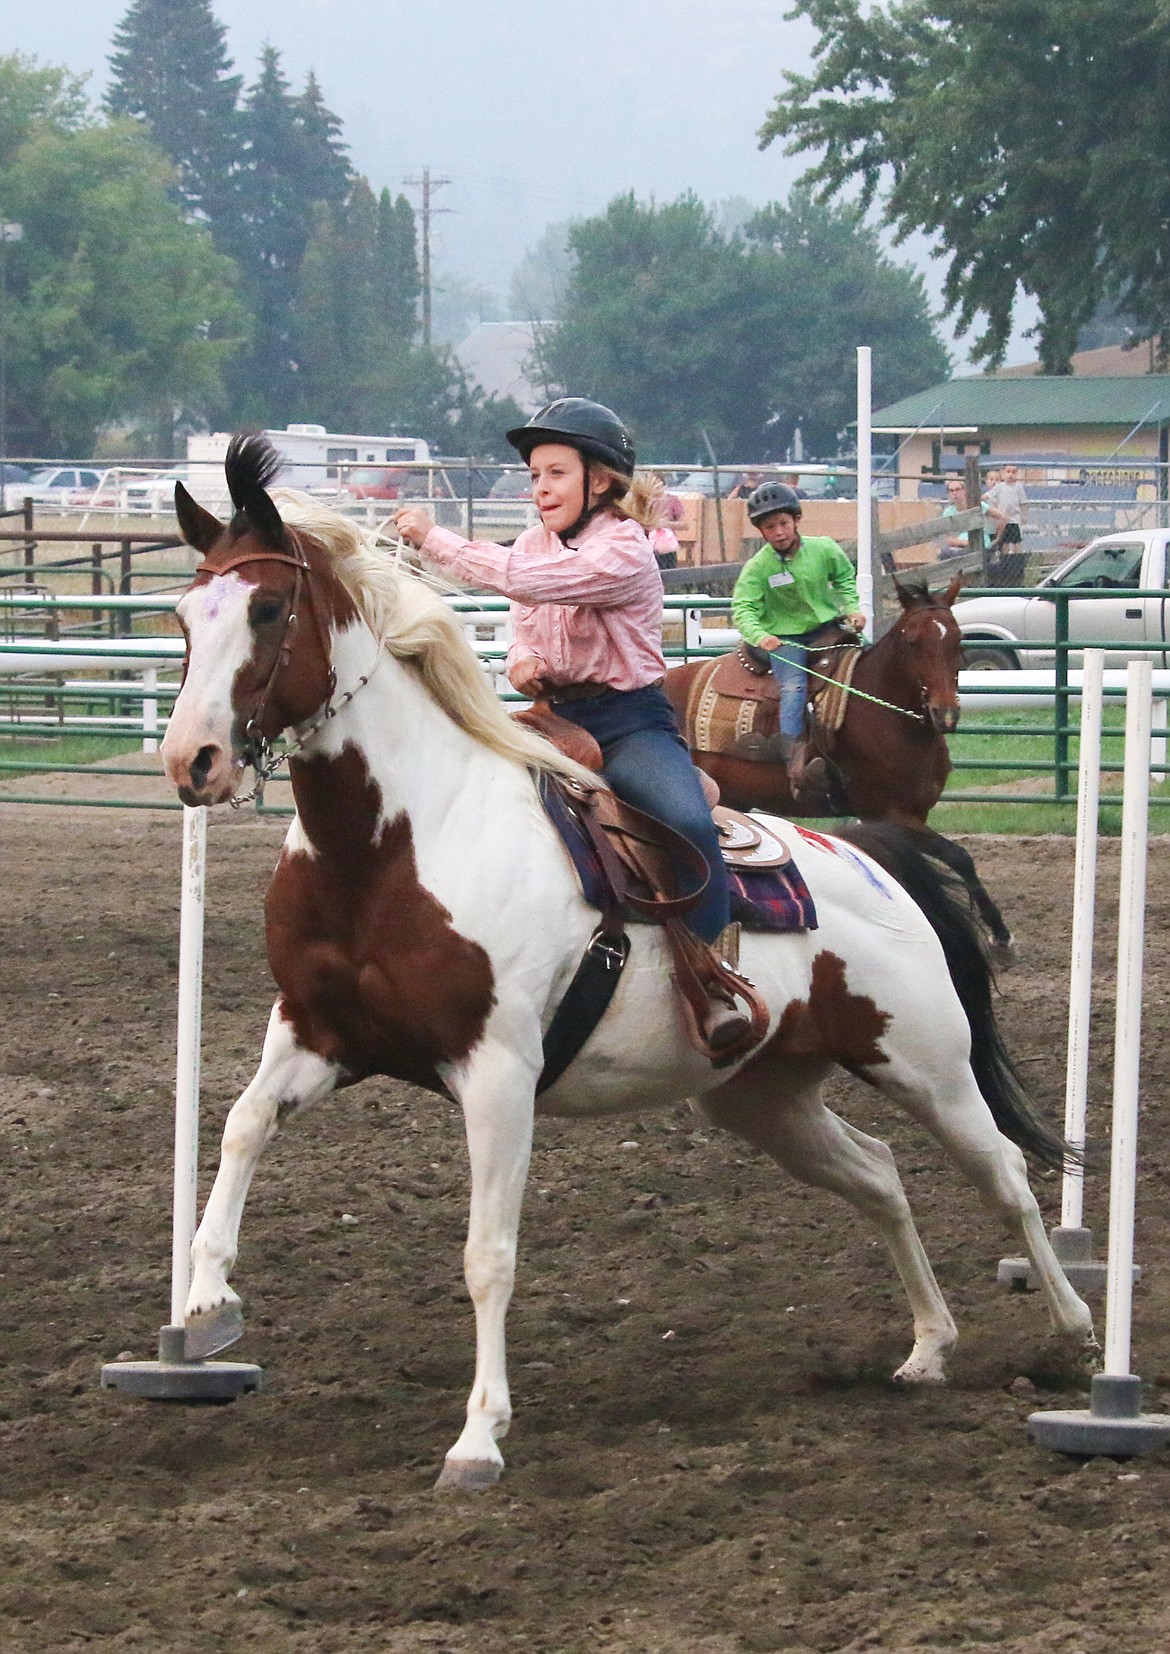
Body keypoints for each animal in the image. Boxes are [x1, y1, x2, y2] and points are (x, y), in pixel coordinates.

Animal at [668, 578, 1012, 959]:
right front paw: (998, 933)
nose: (945, 713)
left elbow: (950, 858)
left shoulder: (916, 813)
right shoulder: (889, 814)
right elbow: (958, 854)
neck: (886, 717)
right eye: (912, 642)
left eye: (957, 639)